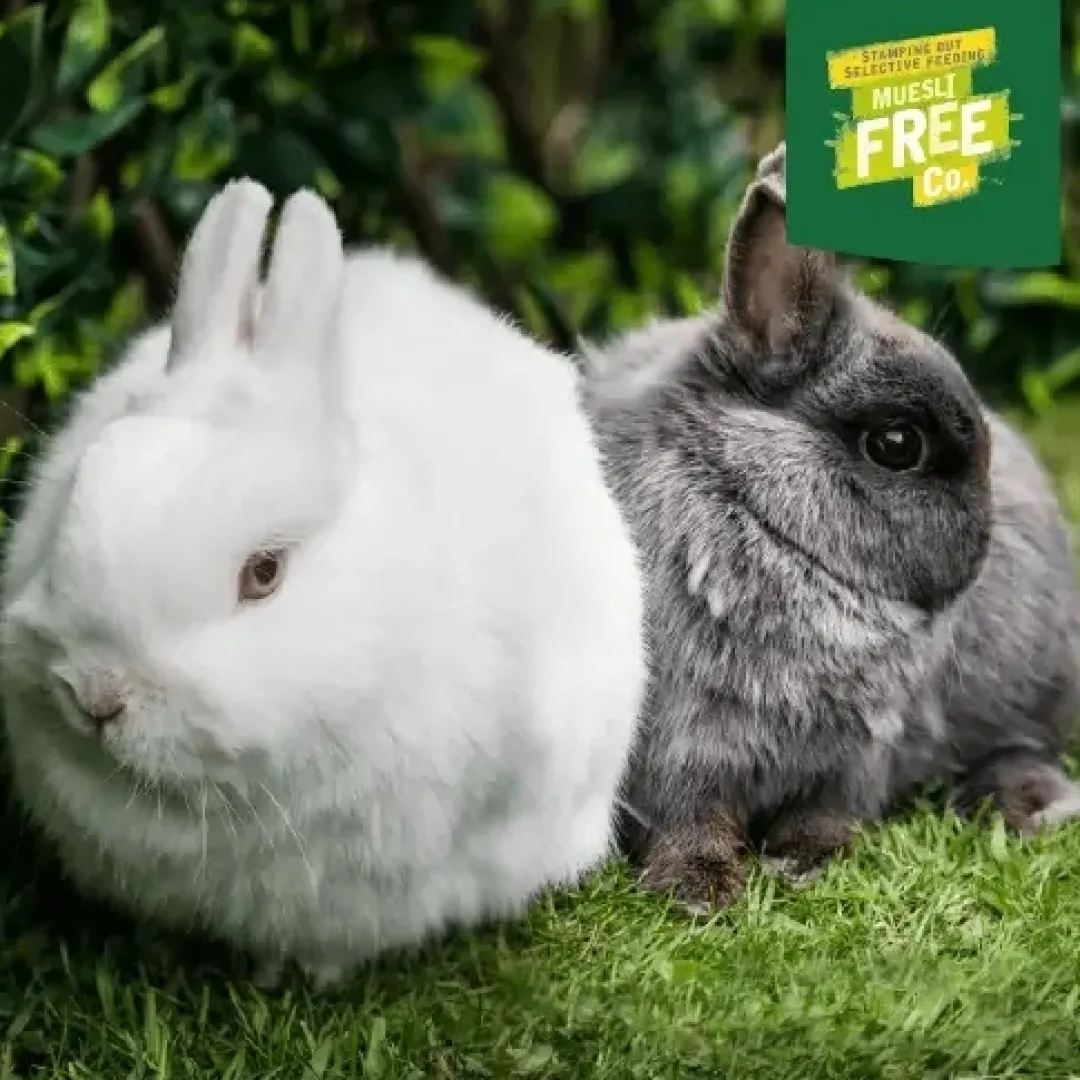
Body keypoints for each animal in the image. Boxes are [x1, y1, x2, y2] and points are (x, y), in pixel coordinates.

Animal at [582, 141, 1080, 912]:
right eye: (896, 444)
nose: (982, 547)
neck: (762, 523)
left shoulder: (859, 750)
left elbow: (827, 811)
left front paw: (805, 861)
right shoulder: (677, 750)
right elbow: (688, 820)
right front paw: (698, 889)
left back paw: (1025, 805)